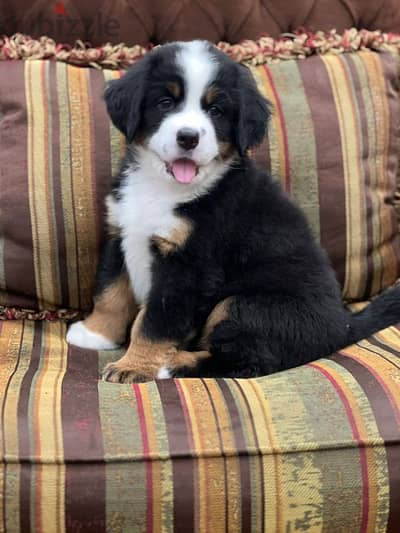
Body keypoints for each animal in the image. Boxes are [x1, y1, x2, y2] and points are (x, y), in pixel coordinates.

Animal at [67, 40, 400, 382]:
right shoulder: (121, 232)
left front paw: (133, 366)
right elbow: (110, 293)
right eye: (165, 102)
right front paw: (95, 334)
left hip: (244, 304)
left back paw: (172, 364)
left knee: (247, 360)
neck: (162, 187)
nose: (188, 138)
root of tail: (343, 326)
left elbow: (155, 322)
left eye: (216, 110)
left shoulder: (188, 265)